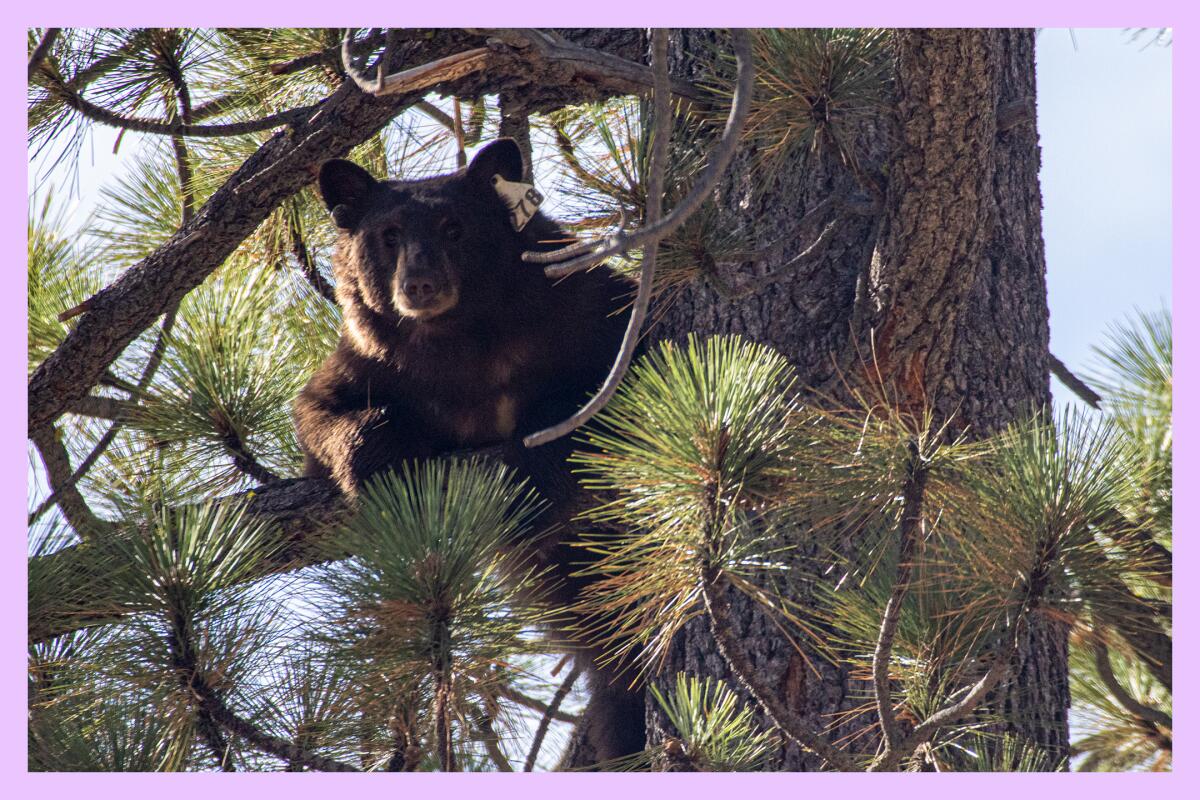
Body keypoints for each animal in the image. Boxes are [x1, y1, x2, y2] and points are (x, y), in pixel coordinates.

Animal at [294, 140, 643, 767]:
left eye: (453, 227)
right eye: (388, 234)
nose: (420, 284)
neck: (459, 342)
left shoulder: (577, 304)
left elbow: (627, 361)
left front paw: (543, 431)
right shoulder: (372, 361)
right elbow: (318, 412)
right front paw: (374, 450)